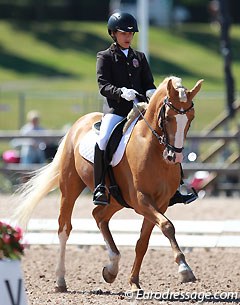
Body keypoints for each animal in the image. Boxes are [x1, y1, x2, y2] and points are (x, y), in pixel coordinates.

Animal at [12, 75, 202, 290]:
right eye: (168, 117)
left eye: (190, 118)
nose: (173, 156)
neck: (151, 148)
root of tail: (79, 123)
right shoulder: (141, 200)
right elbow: (167, 226)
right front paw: (184, 269)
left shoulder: (159, 204)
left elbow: (143, 242)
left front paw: (134, 283)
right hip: (70, 188)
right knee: (64, 228)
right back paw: (60, 280)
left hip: (116, 199)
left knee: (99, 215)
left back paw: (111, 268)